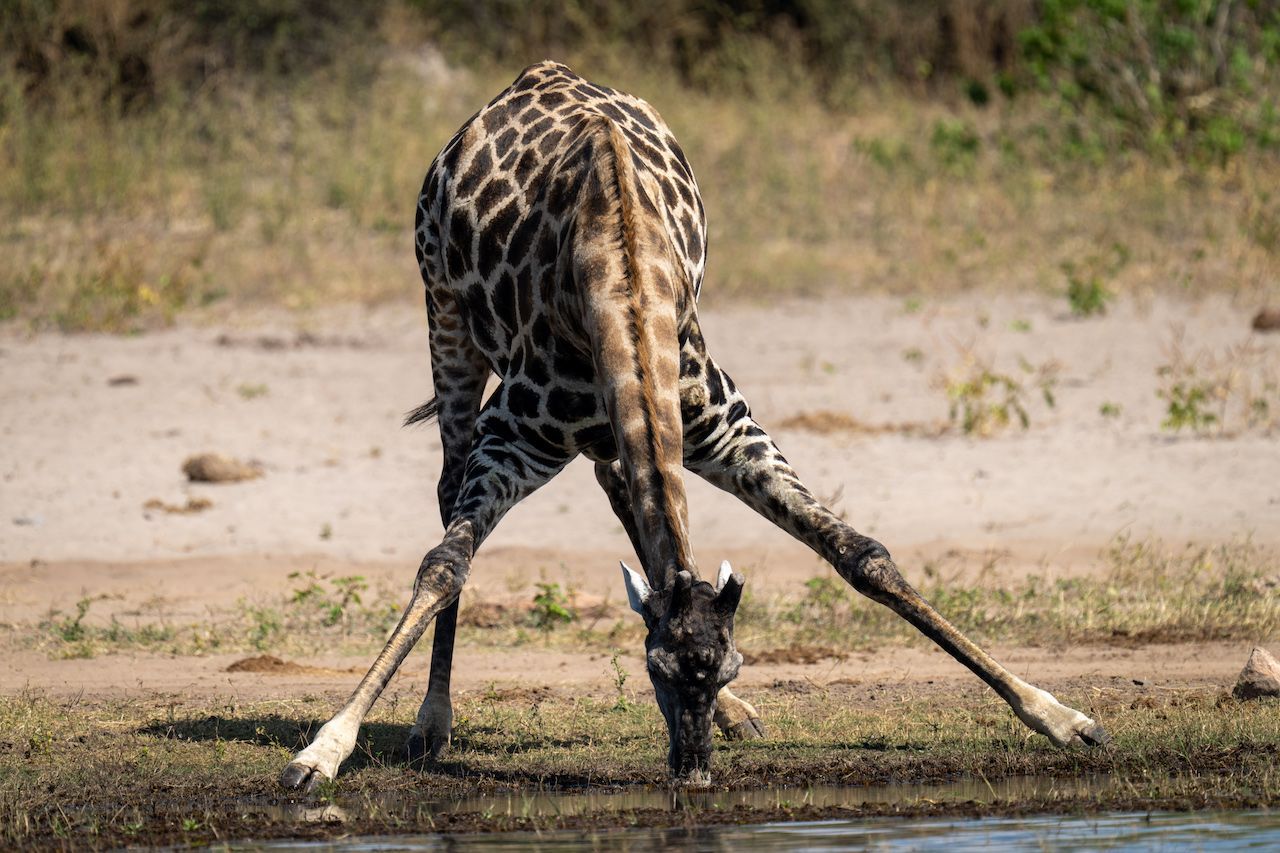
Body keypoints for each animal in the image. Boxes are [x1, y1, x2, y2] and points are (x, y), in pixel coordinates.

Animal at [280, 61, 1100, 788]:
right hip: (445, 321)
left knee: (630, 503)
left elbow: (859, 553)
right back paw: (431, 720)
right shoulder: (511, 438)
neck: (619, 276)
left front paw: (1060, 715)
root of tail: (527, 78)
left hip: (605, 430)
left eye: (731, 661)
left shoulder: (724, 429)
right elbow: (445, 564)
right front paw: (325, 749)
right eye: (655, 670)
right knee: (449, 488)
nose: (693, 772)